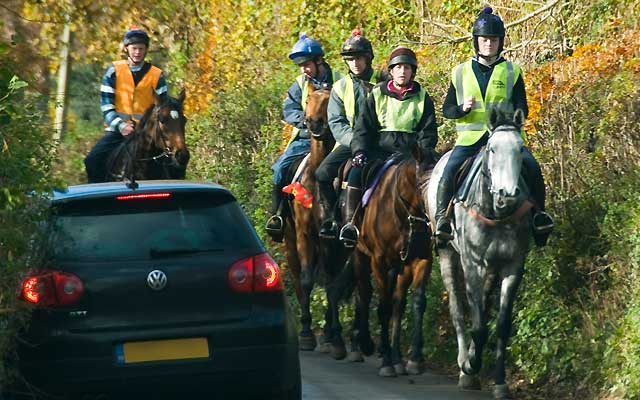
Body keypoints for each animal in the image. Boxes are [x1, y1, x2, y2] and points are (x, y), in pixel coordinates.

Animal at [350, 146, 436, 376]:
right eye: (422, 183)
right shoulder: (379, 261)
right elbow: (384, 307)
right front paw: (386, 362)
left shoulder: (421, 260)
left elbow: (416, 303)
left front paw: (413, 359)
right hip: (360, 256)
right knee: (364, 293)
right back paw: (364, 344)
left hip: (399, 267)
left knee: (397, 302)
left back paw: (395, 356)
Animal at [428, 108, 532, 398]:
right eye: (492, 149)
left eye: (520, 148)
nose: (508, 195)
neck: (496, 213)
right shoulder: (473, 264)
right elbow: (478, 325)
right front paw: (470, 366)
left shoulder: (512, 265)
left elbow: (501, 325)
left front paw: (500, 383)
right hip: (448, 255)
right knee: (457, 307)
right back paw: (465, 361)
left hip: (491, 267)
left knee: (482, 304)